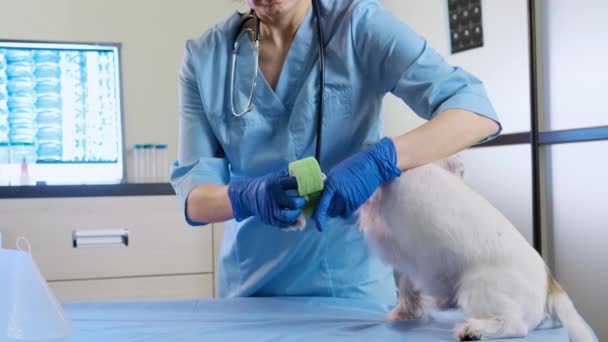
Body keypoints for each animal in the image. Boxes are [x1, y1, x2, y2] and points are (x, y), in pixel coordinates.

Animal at [356, 157, 592, 342]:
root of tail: (550, 283)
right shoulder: (414, 264)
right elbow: (408, 286)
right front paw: (404, 312)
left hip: (475, 291)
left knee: (515, 327)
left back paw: (472, 330)